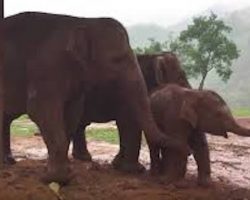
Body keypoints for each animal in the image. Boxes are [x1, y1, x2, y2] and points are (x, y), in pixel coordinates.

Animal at [2, 12, 184, 183]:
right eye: (117, 59)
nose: (185, 149)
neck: (84, 21)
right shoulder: (46, 68)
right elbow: (40, 110)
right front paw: (55, 178)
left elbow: (72, 113)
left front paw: (64, 174)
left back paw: (8, 162)